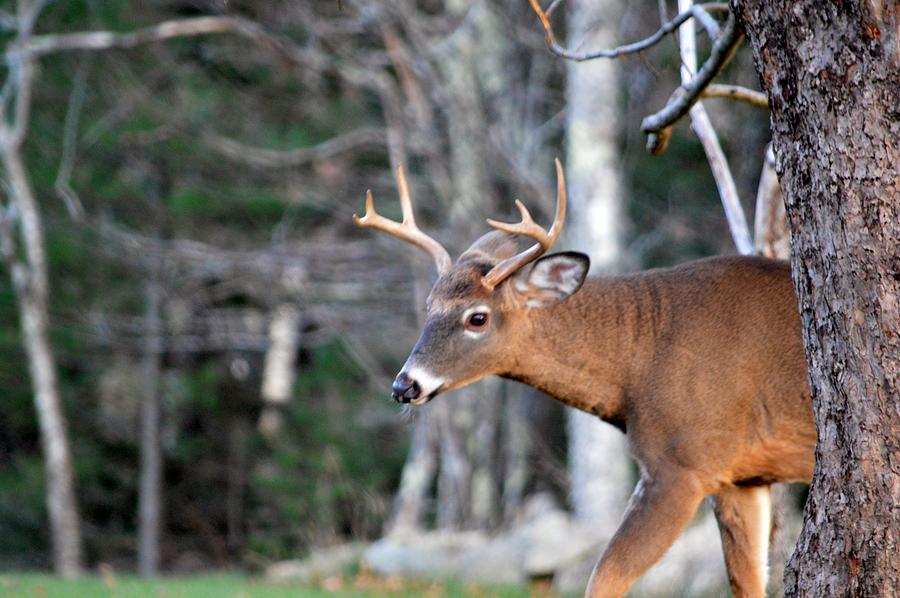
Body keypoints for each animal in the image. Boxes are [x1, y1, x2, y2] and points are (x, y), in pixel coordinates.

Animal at [352, 161, 816, 598]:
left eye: (477, 317)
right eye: (429, 306)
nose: (404, 385)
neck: (640, 359)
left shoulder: (686, 463)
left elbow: (603, 578)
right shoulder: (743, 477)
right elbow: (747, 583)